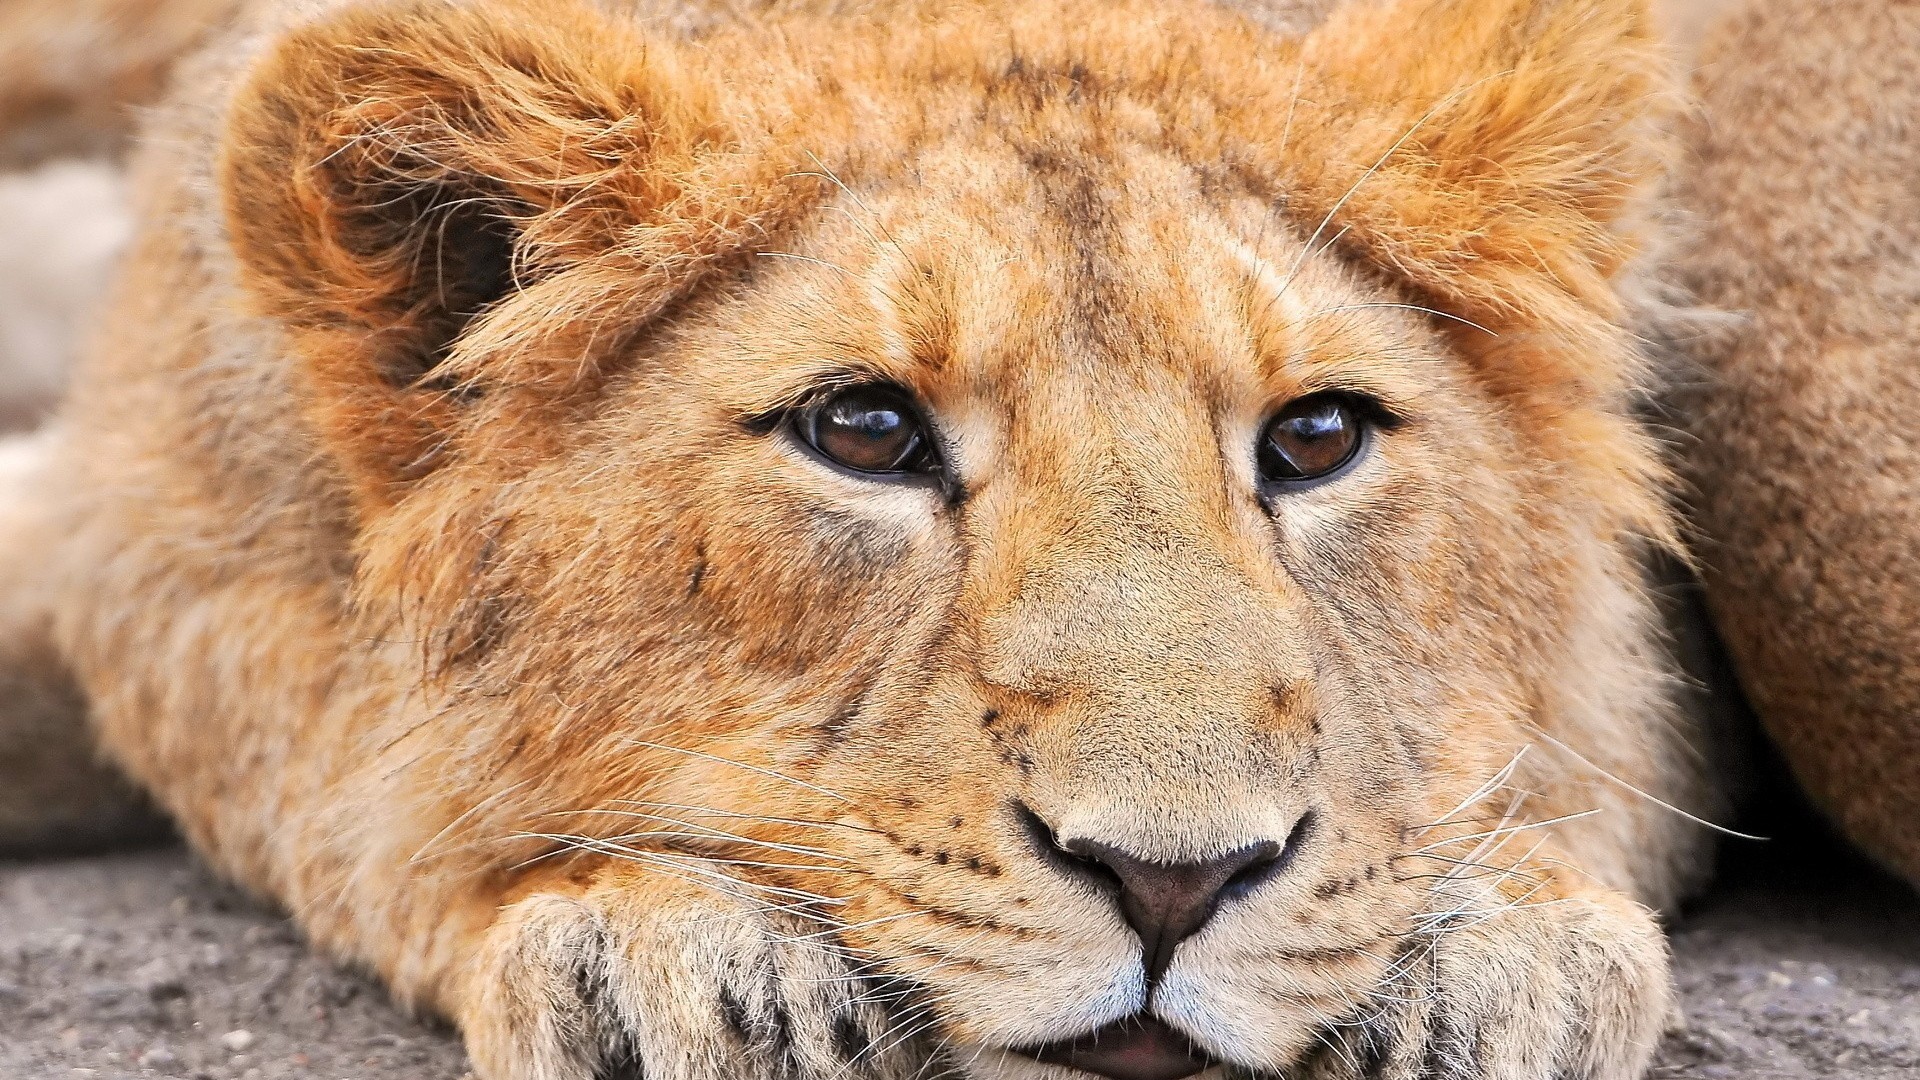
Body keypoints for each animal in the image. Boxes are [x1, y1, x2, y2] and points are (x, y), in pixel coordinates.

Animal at [0, 0, 1913, 1077]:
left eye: (1315, 440)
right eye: (866, 431)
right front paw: (680, 962)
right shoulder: (153, 545)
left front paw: (1489, 960)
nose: (1172, 883)